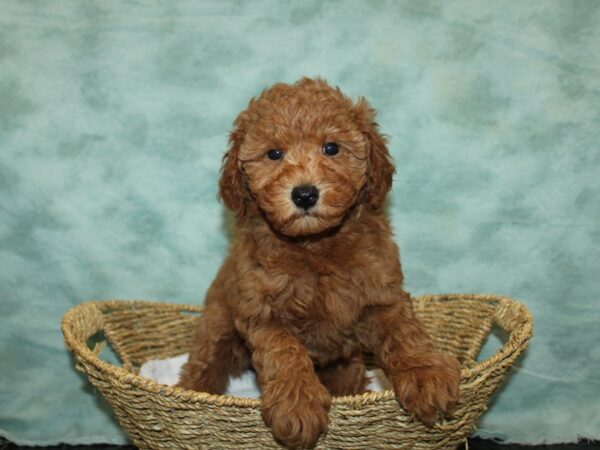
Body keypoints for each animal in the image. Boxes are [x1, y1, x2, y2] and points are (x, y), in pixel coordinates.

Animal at [178, 79, 460, 448]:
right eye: (274, 154)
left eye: (331, 148)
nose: (304, 194)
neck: (315, 246)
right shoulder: (262, 312)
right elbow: (285, 353)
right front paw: (297, 406)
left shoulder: (381, 294)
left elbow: (404, 333)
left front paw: (425, 375)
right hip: (217, 329)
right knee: (202, 366)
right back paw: (189, 394)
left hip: (347, 363)